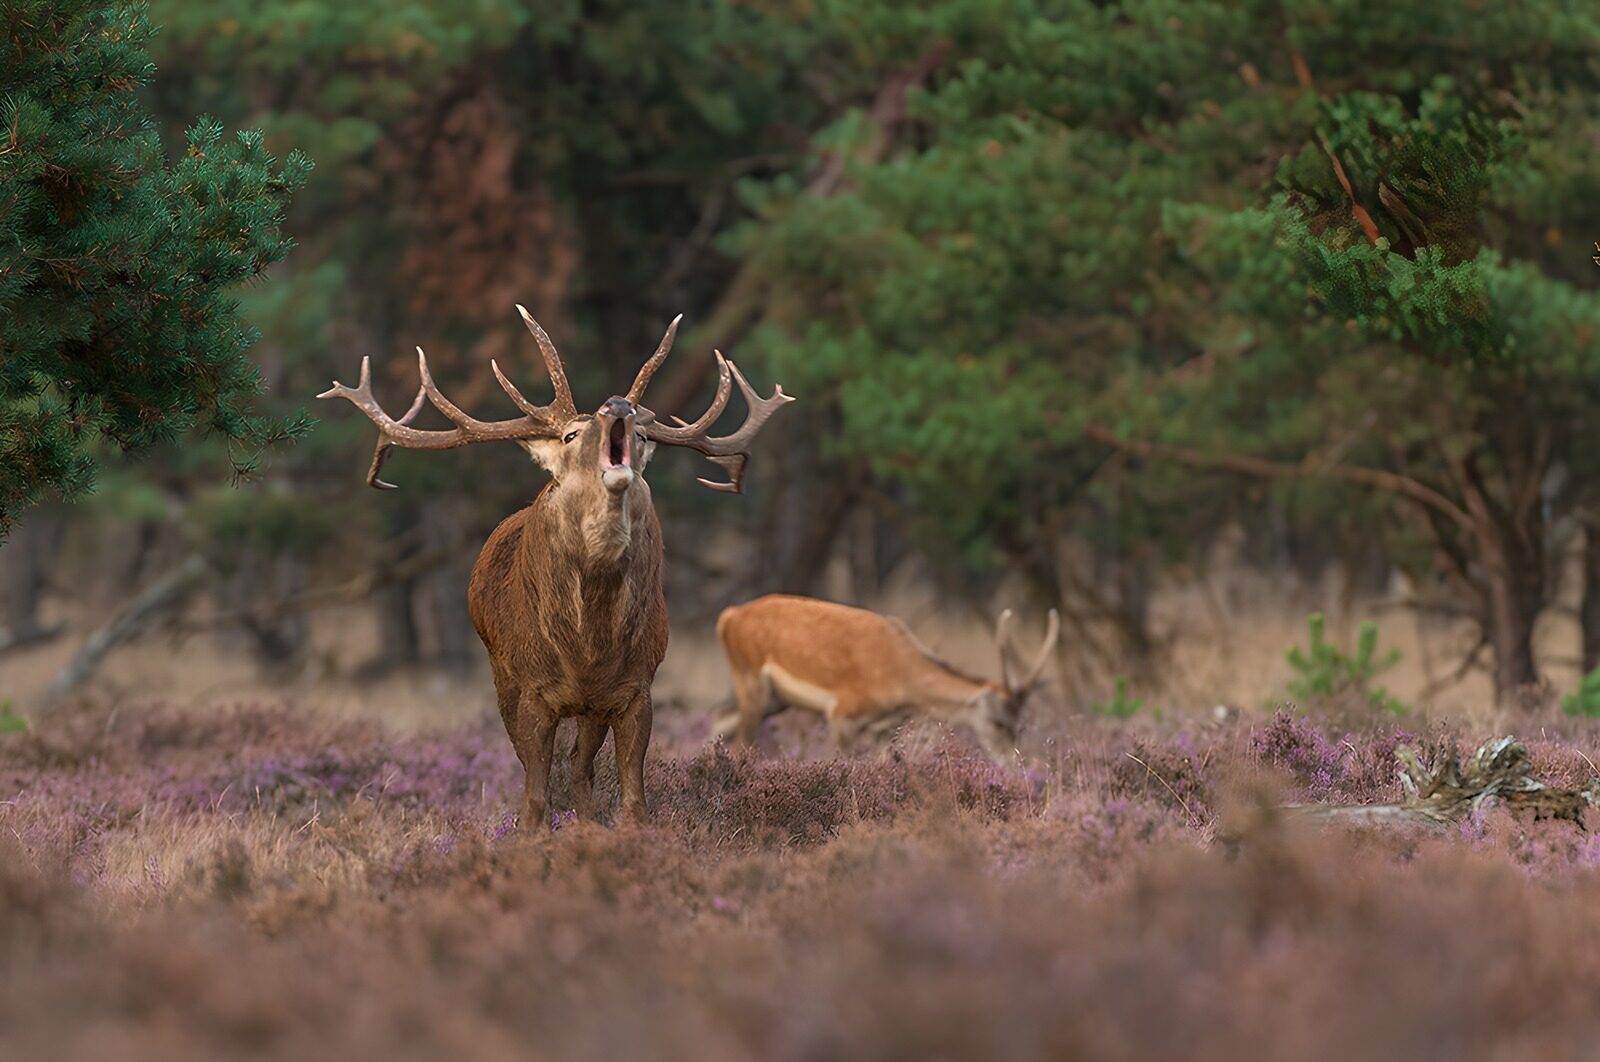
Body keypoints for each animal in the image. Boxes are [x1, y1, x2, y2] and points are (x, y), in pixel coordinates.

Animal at [319, 304, 792, 829]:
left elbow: (634, 800)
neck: (589, 648)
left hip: (590, 710)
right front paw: (534, 838)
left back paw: (587, 824)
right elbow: (534, 796)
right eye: (569, 434)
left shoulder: (635, 690)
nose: (618, 405)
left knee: (579, 765)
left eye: (644, 436)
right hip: (501, 674)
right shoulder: (532, 689)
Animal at [711, 594, 1060, 764]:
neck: (899, 680)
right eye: (998, 722)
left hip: (774, 699)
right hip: (750, 679)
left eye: (1021, 725)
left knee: (719, 723)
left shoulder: (887, 728)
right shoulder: (841, 712)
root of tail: (727, 617)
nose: (1013, 765)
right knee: (741, 742)